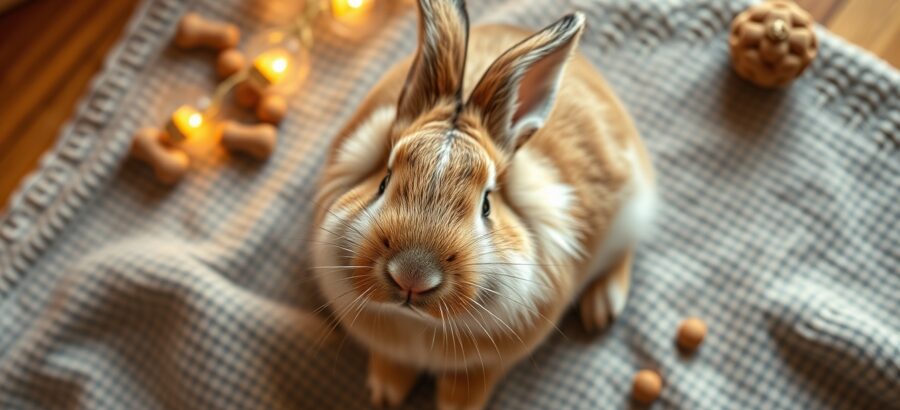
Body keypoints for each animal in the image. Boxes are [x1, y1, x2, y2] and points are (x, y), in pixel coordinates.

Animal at [311, 0, 656, 408]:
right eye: (383, 181)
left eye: (487, 205)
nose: (412, 277)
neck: (417, 322)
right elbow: (393, 358)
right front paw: (385, 392)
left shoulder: (496, 356)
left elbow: (476, 376)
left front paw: (454, 404)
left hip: (630, 208)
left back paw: (603, 307)